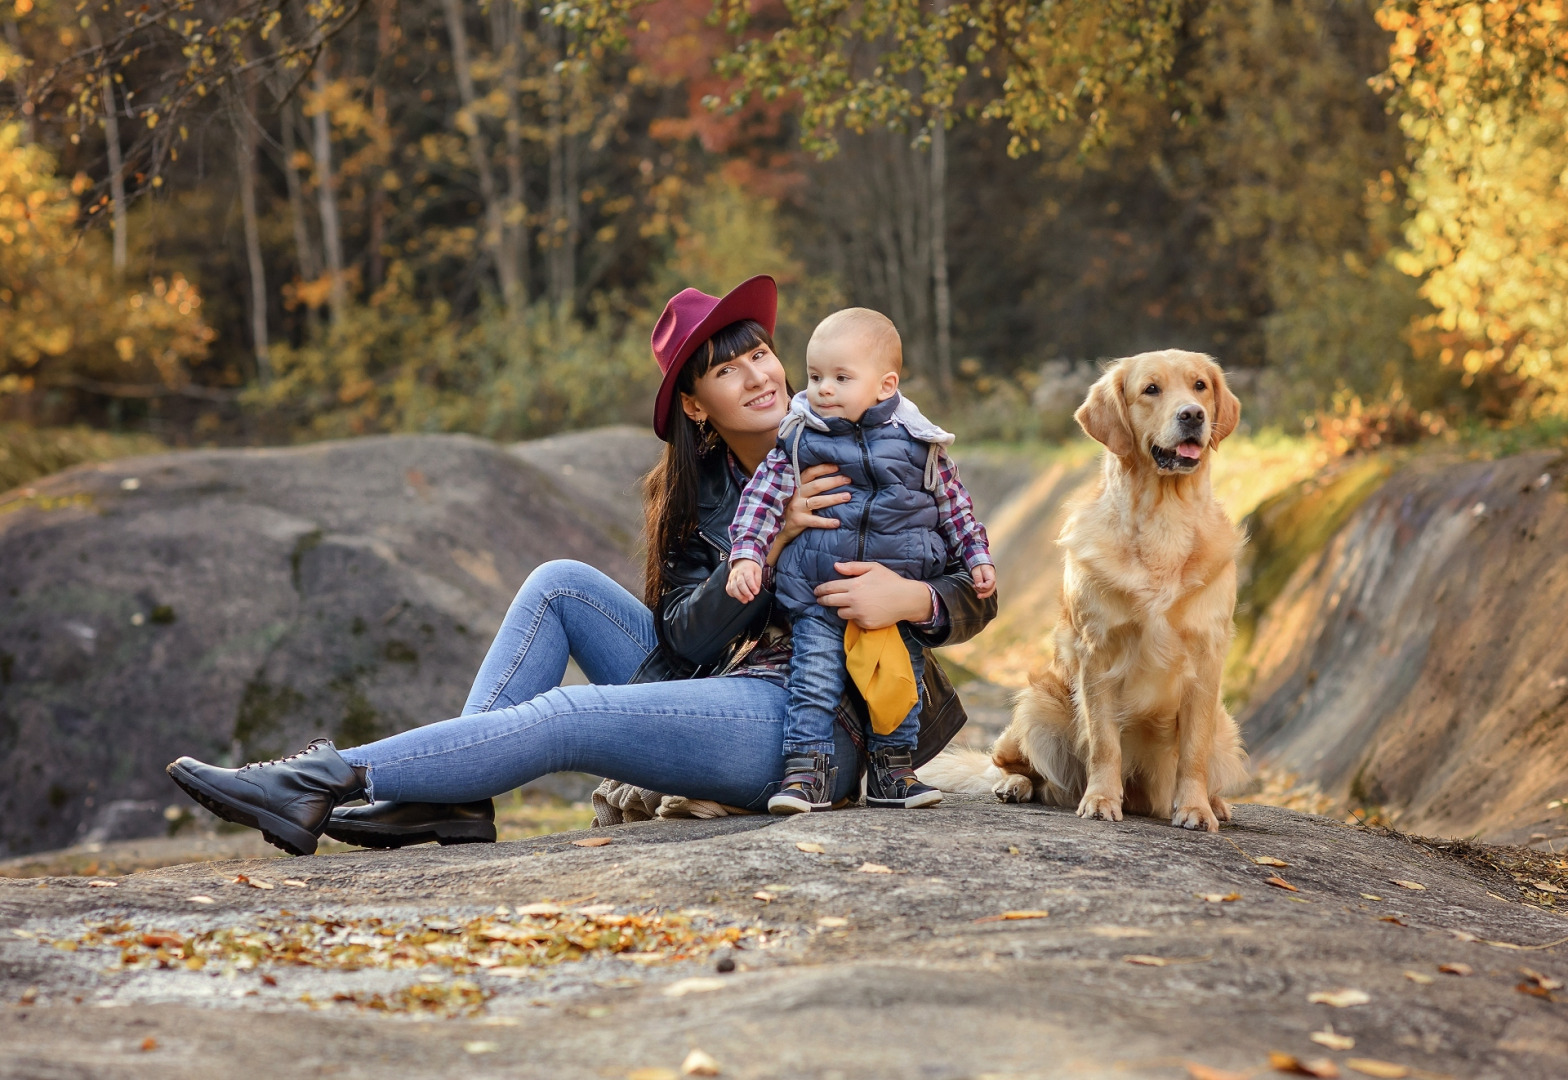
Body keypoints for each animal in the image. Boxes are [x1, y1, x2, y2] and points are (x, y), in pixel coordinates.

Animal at [921, 349, 1254, 827]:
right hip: (1038, 705)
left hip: (1226, 730)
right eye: (1151, 389)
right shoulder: (1097, 652)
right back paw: (1015, 786)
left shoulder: (1207, 656)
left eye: (1200, 386)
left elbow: (1193, 751)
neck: (1164, 519)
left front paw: (1195, 808)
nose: (1193, 415)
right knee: (1026, 772)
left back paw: (1217, 803)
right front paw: (1100, 799)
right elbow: (1104, 741)